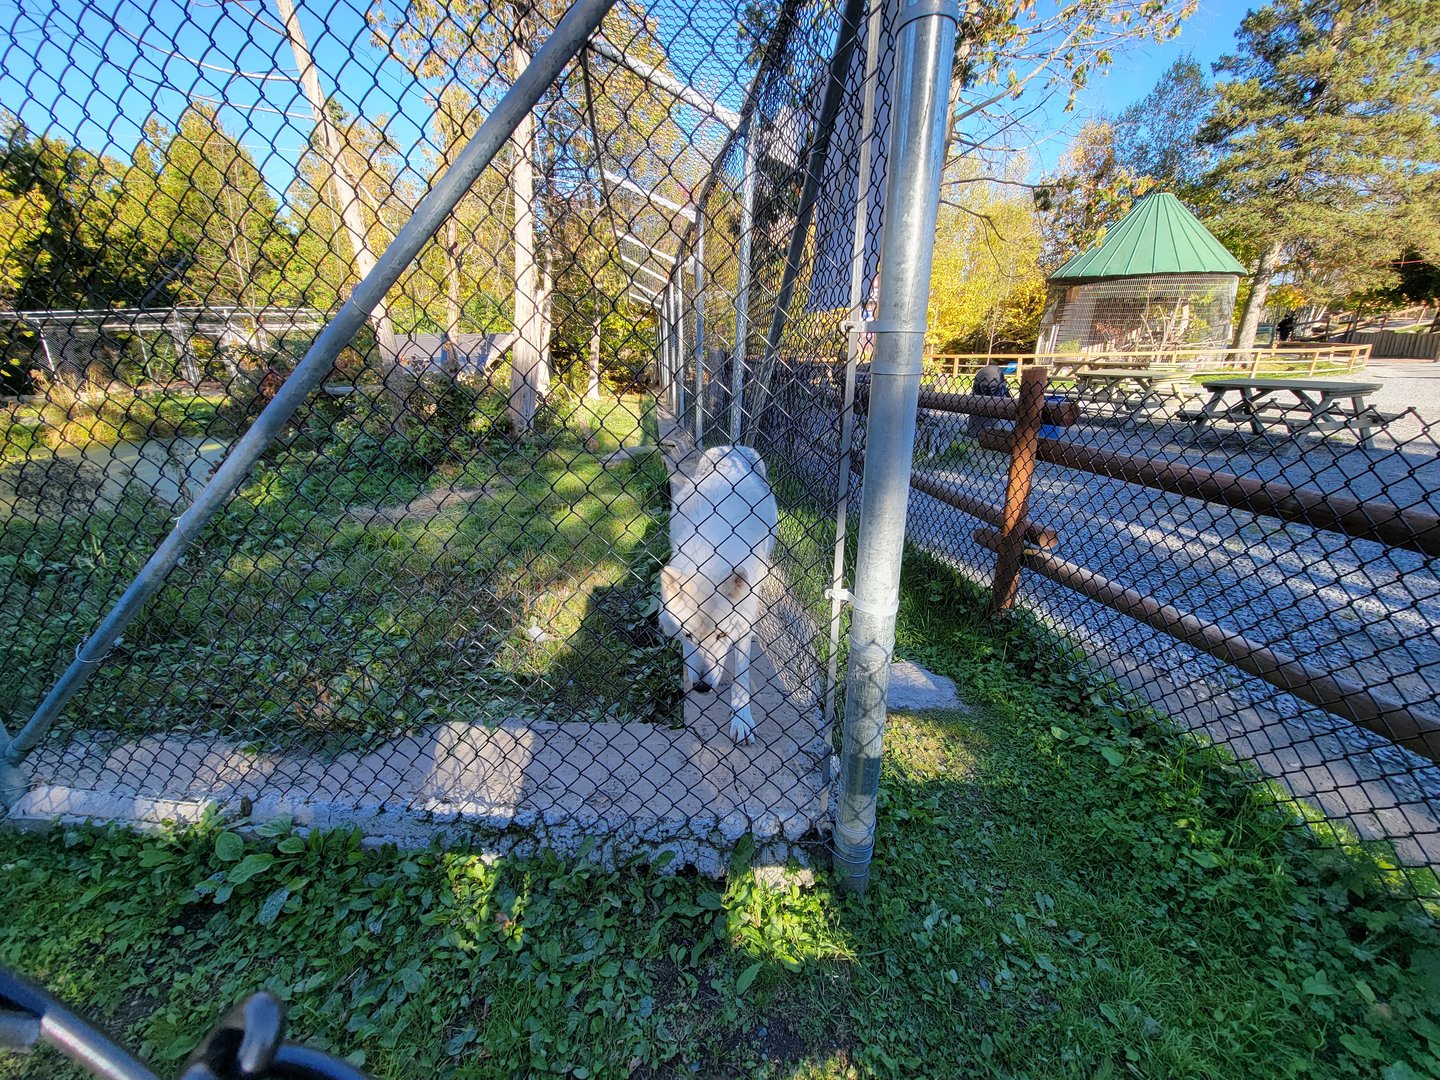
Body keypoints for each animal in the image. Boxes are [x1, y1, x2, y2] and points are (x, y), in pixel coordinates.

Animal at [658, 444, 778, 744]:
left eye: (722, 635)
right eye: (688, 635)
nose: (701, 687)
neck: (712, 549)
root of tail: (733, 447)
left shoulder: (743, 623)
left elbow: (742, 677)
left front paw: (742, 720)